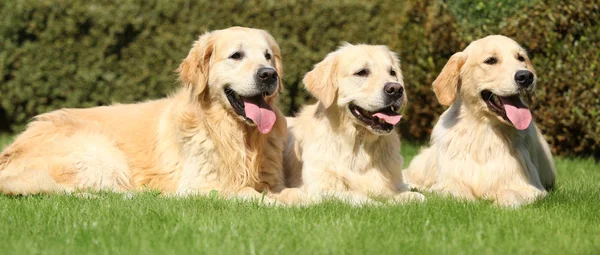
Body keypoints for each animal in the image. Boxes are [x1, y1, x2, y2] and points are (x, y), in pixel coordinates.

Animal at [0, 26, 288, 200]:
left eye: (268, 56)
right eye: (236, 55)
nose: (268, 75)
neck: (234, 134)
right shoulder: (201, 185)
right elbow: (249, 192)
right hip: (101, 151)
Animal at [282, 43, 426, 205]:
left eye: (392, 72)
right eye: (361, 72)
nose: (396, 89)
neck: (357, 145)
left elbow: (416, 196)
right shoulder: (320, 189)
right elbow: (357, 196)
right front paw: (381, 204)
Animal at [404, 34, 556, 207]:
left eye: (521, 58)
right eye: (491, 60)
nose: (526, 76)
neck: (483, 130)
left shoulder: (532, 188)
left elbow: (511, 193)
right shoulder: (447, 182)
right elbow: (456, 193)